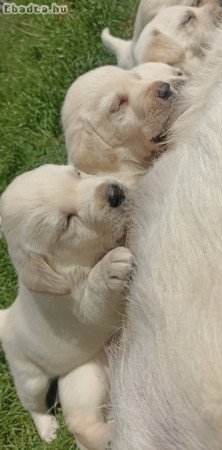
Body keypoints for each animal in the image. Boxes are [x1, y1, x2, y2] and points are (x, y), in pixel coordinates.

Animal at [0, 164, 134, 450]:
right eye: (68, 221)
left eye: (77, 174)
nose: (114, 193)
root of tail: (5, 319)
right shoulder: (82, 308)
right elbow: (96, 297)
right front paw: (110, 269)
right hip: (41, 377)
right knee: (54, 413)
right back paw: (54, 428)